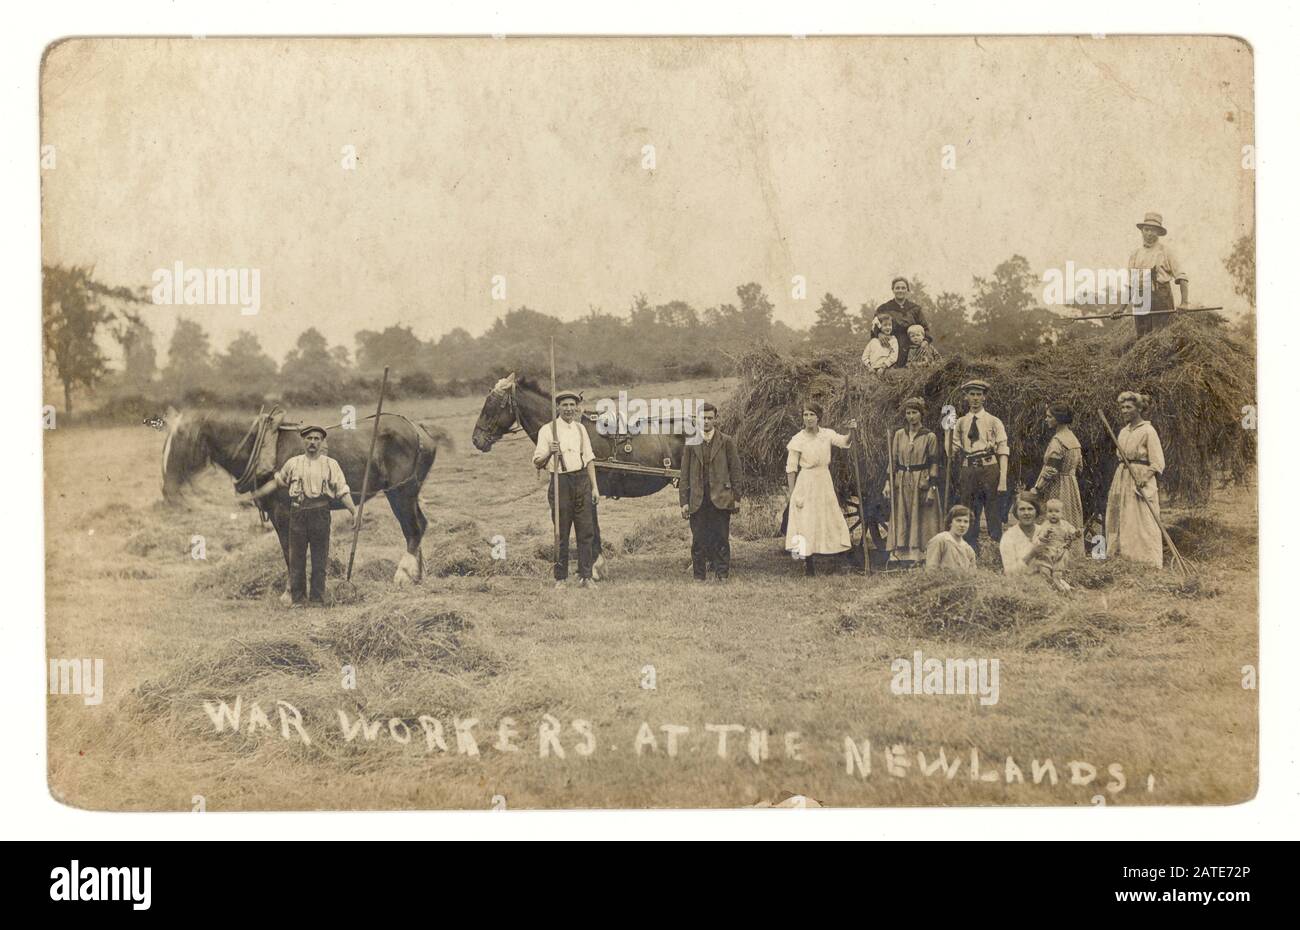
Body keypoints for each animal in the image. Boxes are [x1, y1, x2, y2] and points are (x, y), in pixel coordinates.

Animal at [156, 403, 441, 593]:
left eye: (183, 439)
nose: (167, 490)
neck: (263, 449)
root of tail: (419, 430)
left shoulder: (284, 512)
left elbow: (290, 550)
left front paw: (292, 592)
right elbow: (290, 550)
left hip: (400, 492)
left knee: (413, 529)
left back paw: (403, 574)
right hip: (409, 492)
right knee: (419, 526)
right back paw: (418, 575)